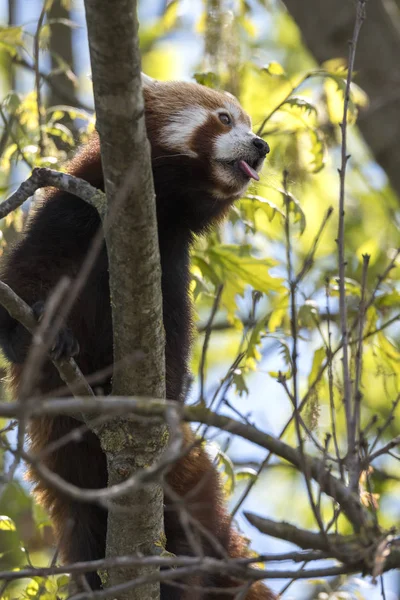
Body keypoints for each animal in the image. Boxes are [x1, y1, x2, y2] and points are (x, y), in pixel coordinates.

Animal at [0, 77, 274, 596]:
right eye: (225, 119)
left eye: (249, 123)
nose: (261, 145)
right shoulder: (67, 215)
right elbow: (23, 287)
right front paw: (48, 329)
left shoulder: (169, 262)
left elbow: (173, 347)